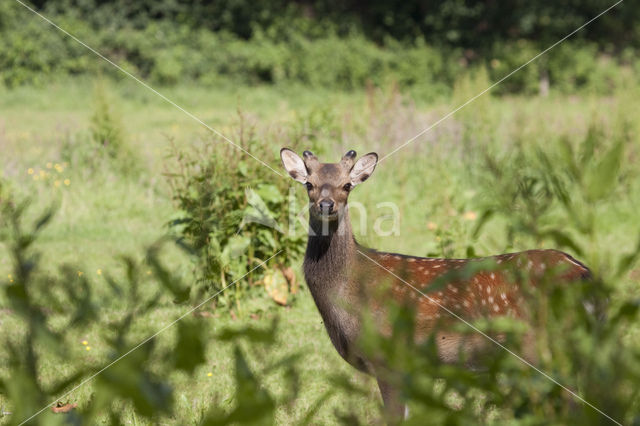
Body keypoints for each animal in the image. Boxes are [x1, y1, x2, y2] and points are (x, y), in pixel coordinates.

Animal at [280, 148, 592, 422]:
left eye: (347, 185)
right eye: (309, 183)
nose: (326, 205)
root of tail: (584, 273)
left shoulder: (389, 359)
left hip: (544, 349)